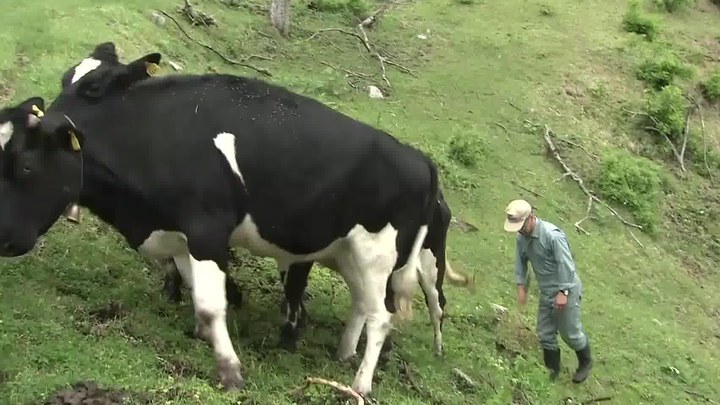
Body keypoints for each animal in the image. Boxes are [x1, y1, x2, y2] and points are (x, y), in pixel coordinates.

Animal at [0, 41, 444, 394]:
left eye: (25, 164)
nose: (5, 238)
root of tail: (419, 158)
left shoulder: (207, 228)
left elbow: (213, 304)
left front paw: (231, 372)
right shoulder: (180, 233)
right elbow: (197, 292)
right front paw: (201, 337)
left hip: (377, 252)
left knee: (382, 317)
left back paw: (360, 385)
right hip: (348, 250)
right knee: (362, 305)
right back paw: (342, 355)